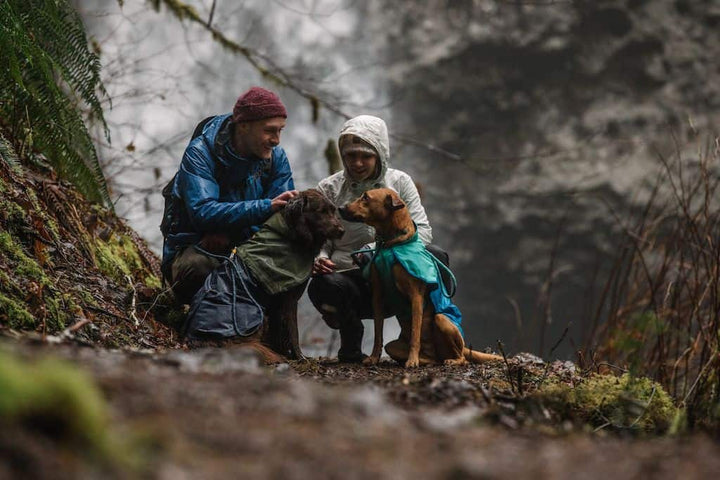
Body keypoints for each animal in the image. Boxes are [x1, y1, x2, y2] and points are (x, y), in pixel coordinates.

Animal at [338, 188, 500, 368]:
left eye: (366, 197)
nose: (340, 208)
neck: (390, 245)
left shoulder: (416, 296)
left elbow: (415, 334)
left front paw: (412, 360)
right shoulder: (378, 296)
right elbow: (378, 334)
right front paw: (374, 358)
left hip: (442, 320)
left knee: (462, 358)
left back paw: (449, 360)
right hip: (393, 347)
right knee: (432, 358)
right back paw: (425, 360)